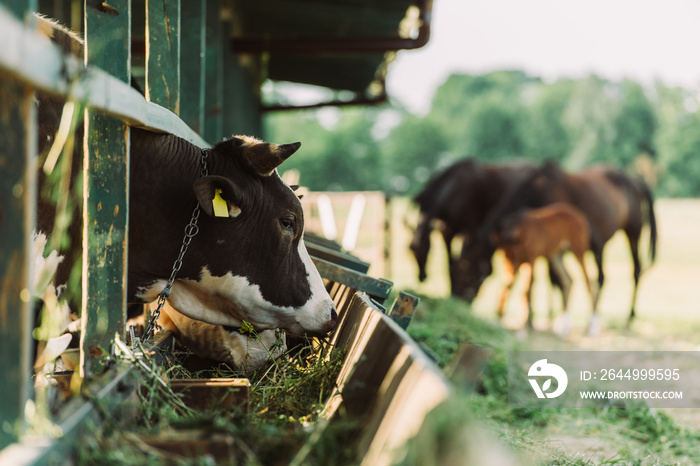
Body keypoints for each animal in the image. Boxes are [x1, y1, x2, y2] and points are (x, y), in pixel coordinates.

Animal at [490, 202, 592, 334]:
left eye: (513, 255)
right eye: (503, 255)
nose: (510, 270)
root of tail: (580, 215)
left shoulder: (531, 260)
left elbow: (527, 288)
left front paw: (528, 323)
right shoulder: (517, 263)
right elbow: (511, 286)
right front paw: (500, 316)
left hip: (578, 251)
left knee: (588, 281)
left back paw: (591, 325)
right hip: (556, 256)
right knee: (568, 280)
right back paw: (564, 325)